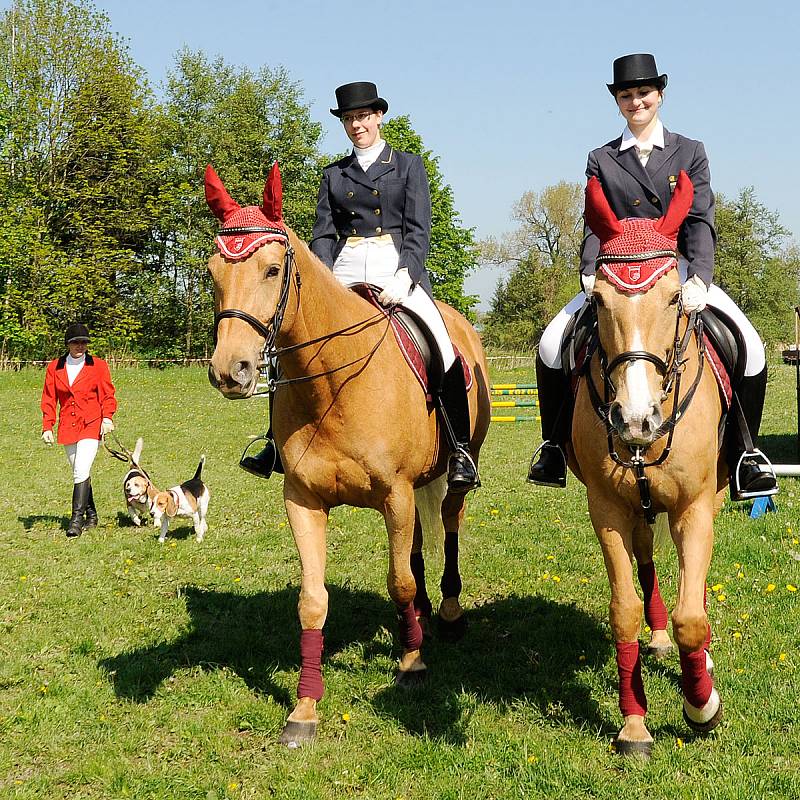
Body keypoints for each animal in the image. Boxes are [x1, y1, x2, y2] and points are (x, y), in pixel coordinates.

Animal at [203, 162, 490, 744]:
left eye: (272, 270)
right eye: (213, 271)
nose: (230, 370)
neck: (333, 383)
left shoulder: (395, 495)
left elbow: (398, 580)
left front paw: (411, 664)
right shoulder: (304, 501)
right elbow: (314, 601)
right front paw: (304, 708)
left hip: (450, 474)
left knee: (448, 527)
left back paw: (447, 614)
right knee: (418, 545)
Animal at [572, 172, 728, 760]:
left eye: (674, 296)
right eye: (598, 298)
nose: (636, 419)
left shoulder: (694, 507)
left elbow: (692, 618)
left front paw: (701, 705)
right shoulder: (608, 509)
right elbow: (624, 610)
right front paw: (634, 723)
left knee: (692, 587)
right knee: (647, 564)